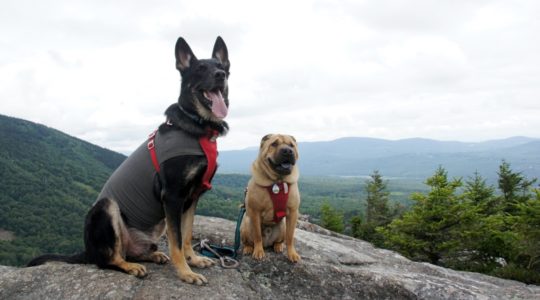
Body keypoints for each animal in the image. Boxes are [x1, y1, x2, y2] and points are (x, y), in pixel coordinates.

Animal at [28, 36, 230, 284]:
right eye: (200, 69)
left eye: (221, 67)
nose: (220, 74)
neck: (198, 125)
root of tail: (88, 251)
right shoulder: (173, 196)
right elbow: (176, 242)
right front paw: (185, 272)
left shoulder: (192, 197)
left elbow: (187, 234)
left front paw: (194, 259)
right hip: (107, 208)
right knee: (109, 259)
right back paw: (131, 266)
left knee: (132, 251)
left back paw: (152, 256)